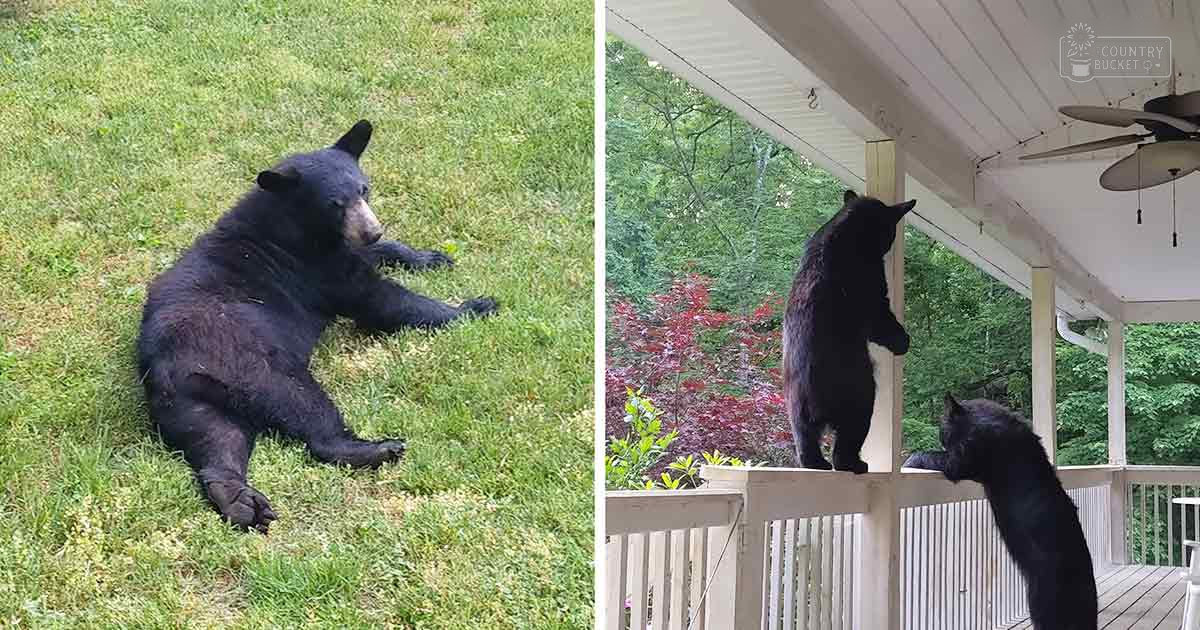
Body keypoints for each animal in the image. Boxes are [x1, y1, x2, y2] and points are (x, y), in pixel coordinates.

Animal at [137, 120, 498, 533]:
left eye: (364, 189)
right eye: (334, 204)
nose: (371, 230)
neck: (290, 222)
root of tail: (163, 366)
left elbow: (378, 255)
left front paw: (431, 257)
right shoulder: (317, 269)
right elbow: (380, 299)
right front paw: (474, 306)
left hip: (190, 401)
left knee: (217, 438)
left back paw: (240, 501)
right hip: (252, 365)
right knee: (303, 408)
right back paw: (378, 448)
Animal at [783, 190, 914, 473]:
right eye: (890, 230)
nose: (889, 243)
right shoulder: (873, 290)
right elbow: (881, 321)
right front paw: (903, 341)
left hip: (797, 408)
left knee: (805, 437)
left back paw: (815, 463)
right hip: (861, 396)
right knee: (848, 438)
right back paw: (853, 464)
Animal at [905, 395, 1098, 630]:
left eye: (942, 429)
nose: (940, 437)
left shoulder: (962, 460)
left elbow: (934, 457)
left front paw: (911, 458)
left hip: (1042, 596)